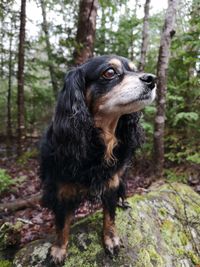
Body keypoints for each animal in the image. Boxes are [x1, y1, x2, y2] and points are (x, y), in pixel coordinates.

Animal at [40, 55, 156, 264]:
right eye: (109, 72)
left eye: (135, 69)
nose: (152, 79)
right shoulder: (61, 190)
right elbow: (61, 223)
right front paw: (59, 249)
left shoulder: (111, 182)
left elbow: (109, 215)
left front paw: (111, 239)